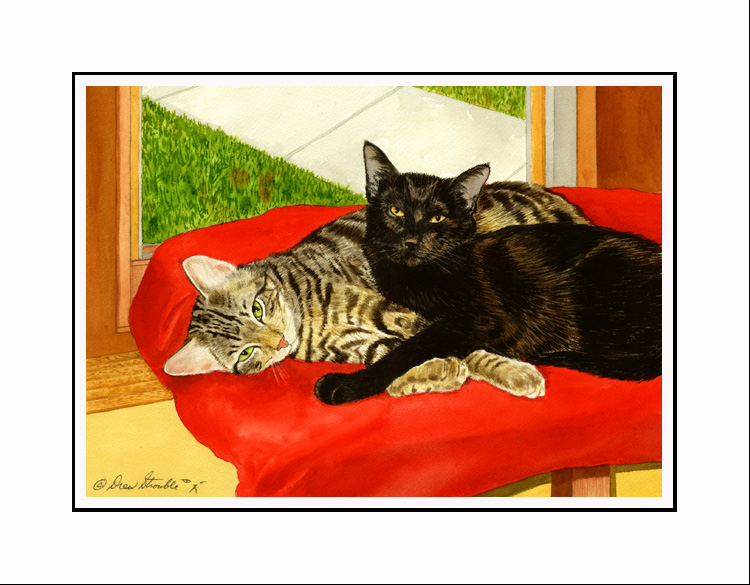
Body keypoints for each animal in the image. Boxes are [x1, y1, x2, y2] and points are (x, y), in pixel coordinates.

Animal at [164, 149, 591, 397]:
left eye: (257, 309)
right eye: (247, 352)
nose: (280, 341)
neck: (307, 321)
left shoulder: (392, 308)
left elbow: (452, 343)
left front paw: (510, 372)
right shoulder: (355, 345)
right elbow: (390, 359)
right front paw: (437, 373)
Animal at [312, 142, 662, 405]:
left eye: (438, 218)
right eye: (396, 211)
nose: (412, 240)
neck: (420, 274)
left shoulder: (480, 317)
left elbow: (408, 349)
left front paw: (344, 386)